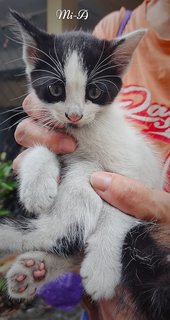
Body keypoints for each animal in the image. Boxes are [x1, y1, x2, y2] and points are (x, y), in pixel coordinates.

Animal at [0, 10, 170, 320]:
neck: (84, 137)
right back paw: (33, 270)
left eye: (95, 91)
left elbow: (118, 210)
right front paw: (36, 186)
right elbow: (41, 146)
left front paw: (102, 268)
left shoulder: (137, 175)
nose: (74, 115)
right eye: (56, 88)